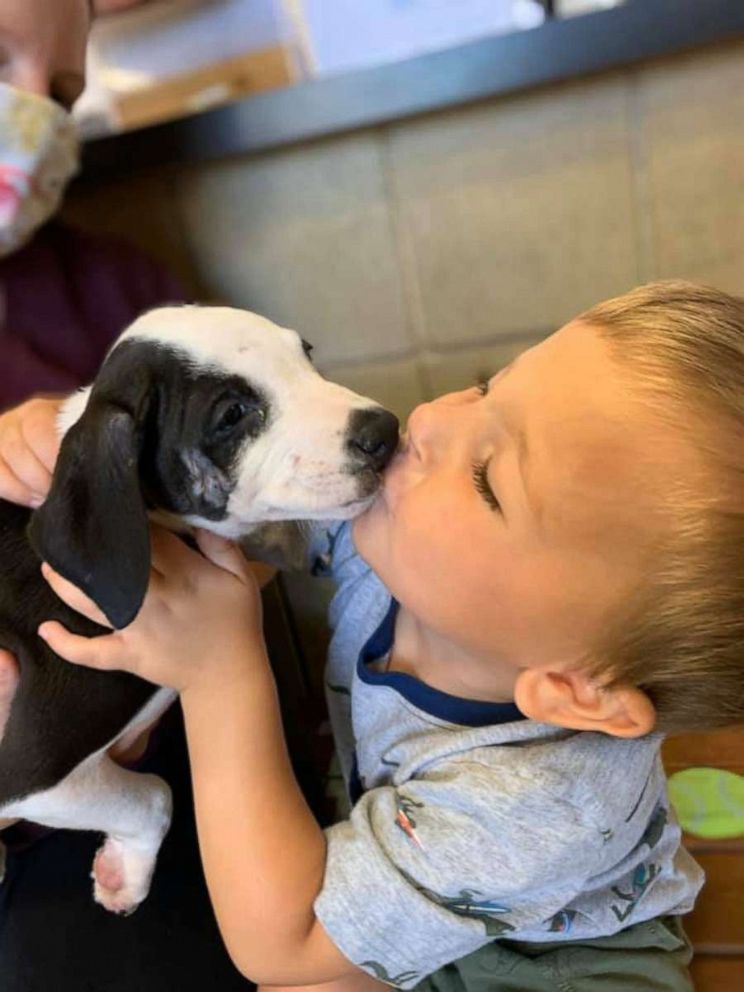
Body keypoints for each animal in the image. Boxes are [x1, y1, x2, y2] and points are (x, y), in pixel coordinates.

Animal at [0, 302, 402, 916]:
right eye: (233, 414)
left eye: (304, 355)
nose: (386, 432)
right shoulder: (27, 769)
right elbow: (155, 795)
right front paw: (127, 870)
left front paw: (124, 867)